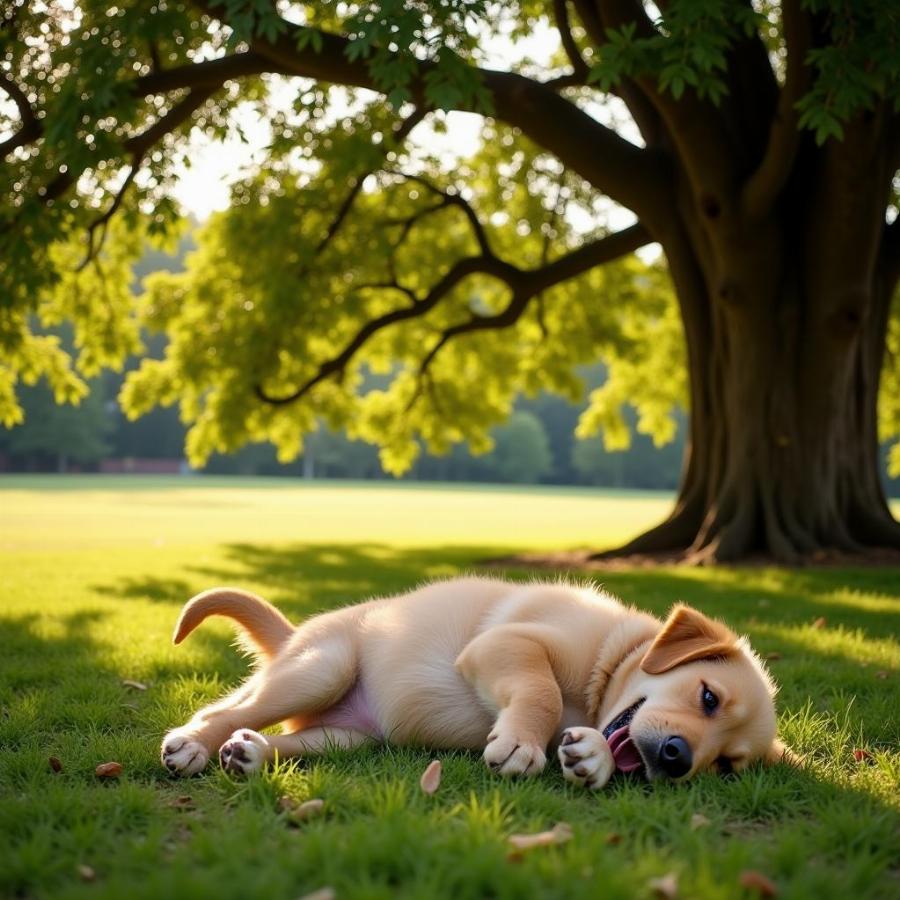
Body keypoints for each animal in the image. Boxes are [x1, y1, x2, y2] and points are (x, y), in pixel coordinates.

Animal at [162, 576, 796, 788]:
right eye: (708, 696)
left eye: (726, 766)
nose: (676, 758)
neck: (613, 653)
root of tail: (297, 633)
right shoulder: (505, 644)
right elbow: (540, 691)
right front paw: (520, 744)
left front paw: (592, 760)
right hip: (319, 670)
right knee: (226, 709)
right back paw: (192, 745)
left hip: (348, 737)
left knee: (281, 736)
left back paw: (250, 754)